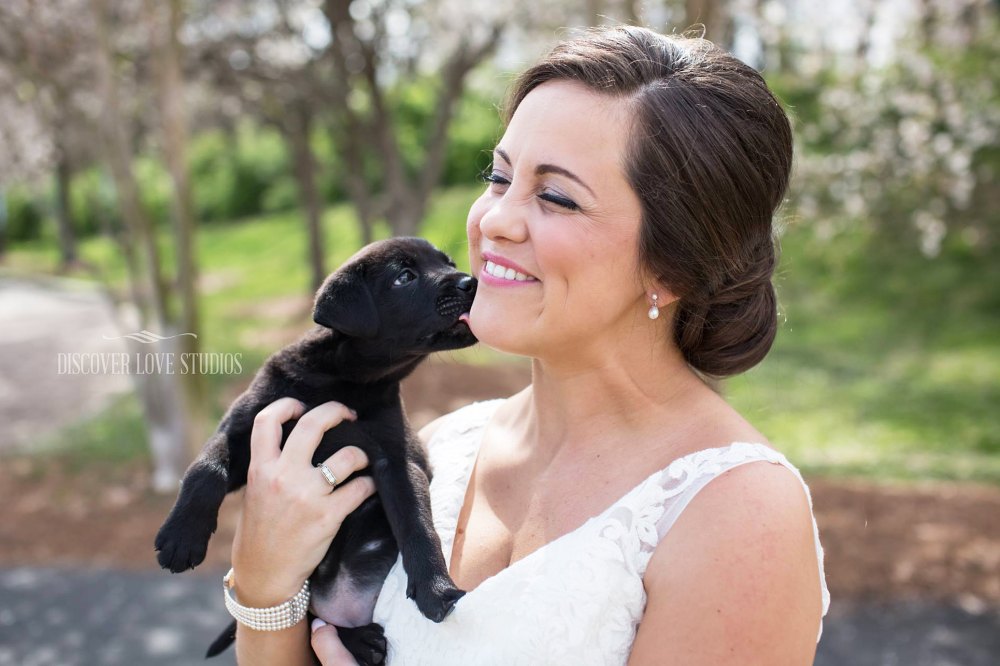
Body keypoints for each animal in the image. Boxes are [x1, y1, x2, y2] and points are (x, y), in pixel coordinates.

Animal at [157, 236, 480, 660]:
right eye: (404, 277)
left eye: (450, 263)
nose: (471, 282)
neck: (344, 380)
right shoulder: (243, 430)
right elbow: (205, 470)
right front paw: (181, 537)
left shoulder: (395, 461)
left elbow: (419, 526)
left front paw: (435, 588)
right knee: (313, 619)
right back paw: (359, 640)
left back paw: (360, 640)